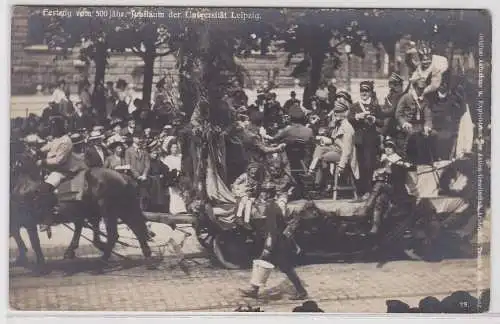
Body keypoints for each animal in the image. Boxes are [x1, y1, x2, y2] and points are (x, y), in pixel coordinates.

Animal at [10, 142, 152, 270]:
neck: (23, 184)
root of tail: (124, 178)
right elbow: (17, 236)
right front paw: (22, 259)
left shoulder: (28, 221)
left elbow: (34, 242)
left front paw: (39, 264)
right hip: (123, 210)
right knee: (138, 230)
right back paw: (147, 257)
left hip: (109, 211)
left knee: (114, 234)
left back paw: (102, 260)